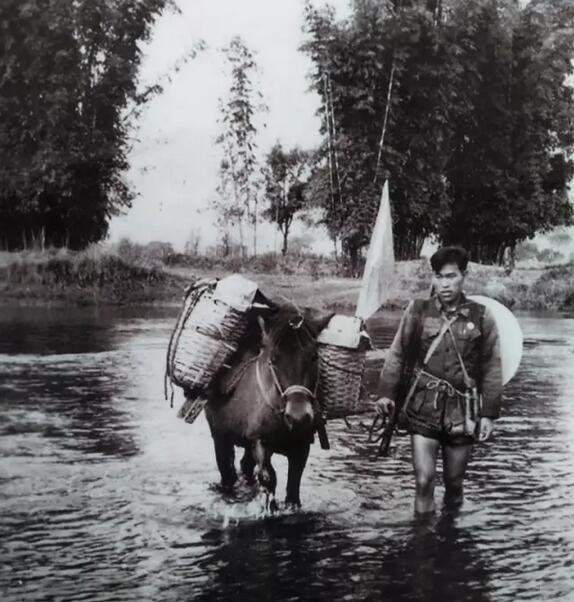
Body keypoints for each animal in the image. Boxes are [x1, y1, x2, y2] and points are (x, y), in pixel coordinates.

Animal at [203, 303, 333, 509]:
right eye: (274, 359)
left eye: (314, 356)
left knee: (245, 465)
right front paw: (270, 507)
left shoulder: (301, 446)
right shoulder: (259, 441)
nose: (298, 416)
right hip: (219, 435)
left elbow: (293, 486)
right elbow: (268, 478)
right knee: (227, 471)